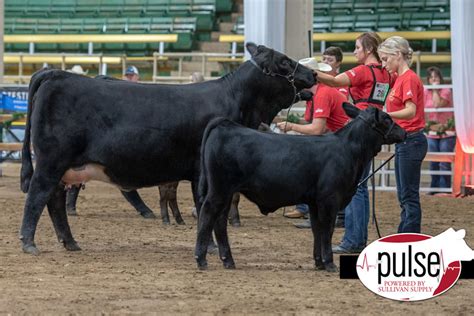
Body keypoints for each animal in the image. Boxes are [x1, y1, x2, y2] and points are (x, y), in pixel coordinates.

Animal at [18, 43, 316, 254]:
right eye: (284, 61)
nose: (313, 72)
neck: (239, 102)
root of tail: (54, 72)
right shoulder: (203, 172)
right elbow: (205, 206)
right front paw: (210, 246)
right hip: (51, 161)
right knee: (38, 195)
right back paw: (29, 242)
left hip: (64, 167)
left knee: (55, 200)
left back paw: (70, 242)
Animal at [194, 103, 406, 272]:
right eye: (387, 119)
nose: (404, 132)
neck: (348, 150)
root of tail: (226, 125)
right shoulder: (330, 199)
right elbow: (327, 230)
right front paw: (330, 264)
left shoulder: (314, 202)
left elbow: (317, 230)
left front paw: (319, 263)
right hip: (219, 189)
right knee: (207, 214)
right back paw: (201, 259)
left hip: (226, 191)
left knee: (220, 220)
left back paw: (228, 260)